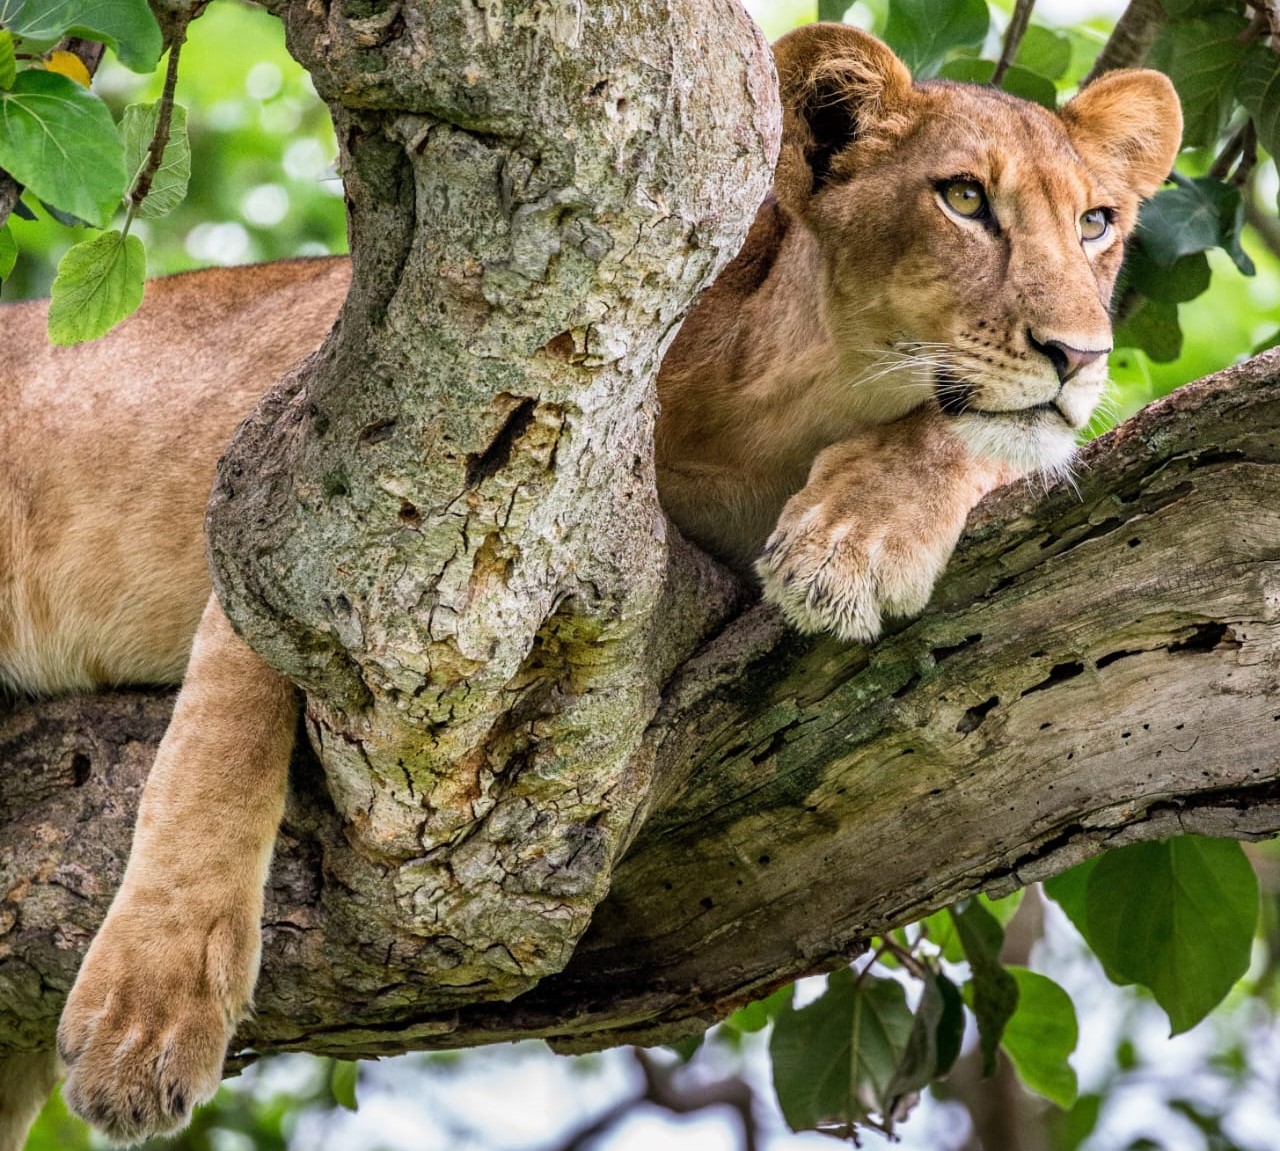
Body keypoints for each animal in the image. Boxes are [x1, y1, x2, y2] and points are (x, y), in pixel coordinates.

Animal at [0, 23, 1180, 1148]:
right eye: (964, 199)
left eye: (1095, 223)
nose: (1080, 354)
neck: (789, 402)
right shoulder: (287, 490)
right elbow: (221, 743)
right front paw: (146, 1015)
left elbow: (979, 438)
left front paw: (852, 540)